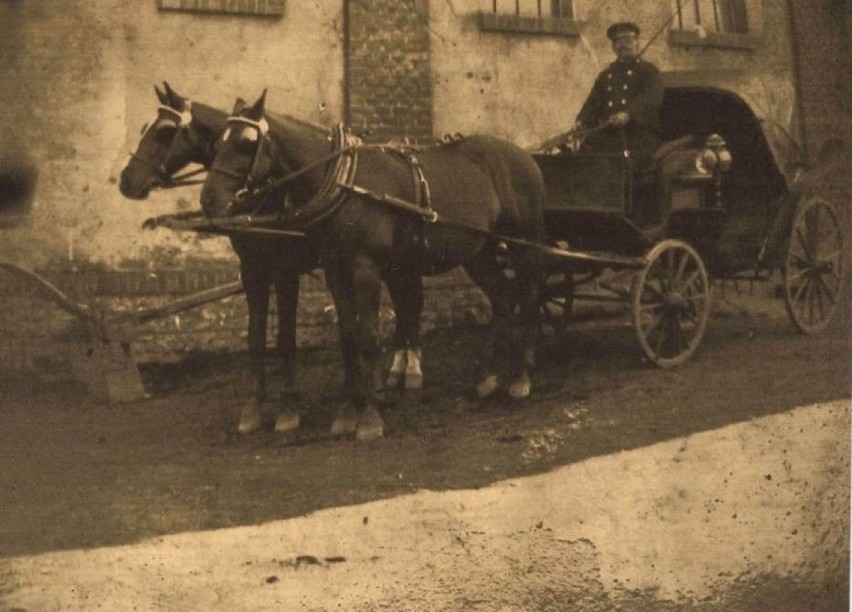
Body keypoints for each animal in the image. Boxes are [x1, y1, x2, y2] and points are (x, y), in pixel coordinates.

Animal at [120, 83, 316, 432]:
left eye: (165, 132)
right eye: (144, 128)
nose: (125, 180)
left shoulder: (285, 271)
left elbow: (285, 337)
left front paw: (288, 408)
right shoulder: (252, 269)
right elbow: (255, 337)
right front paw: (253, 408)